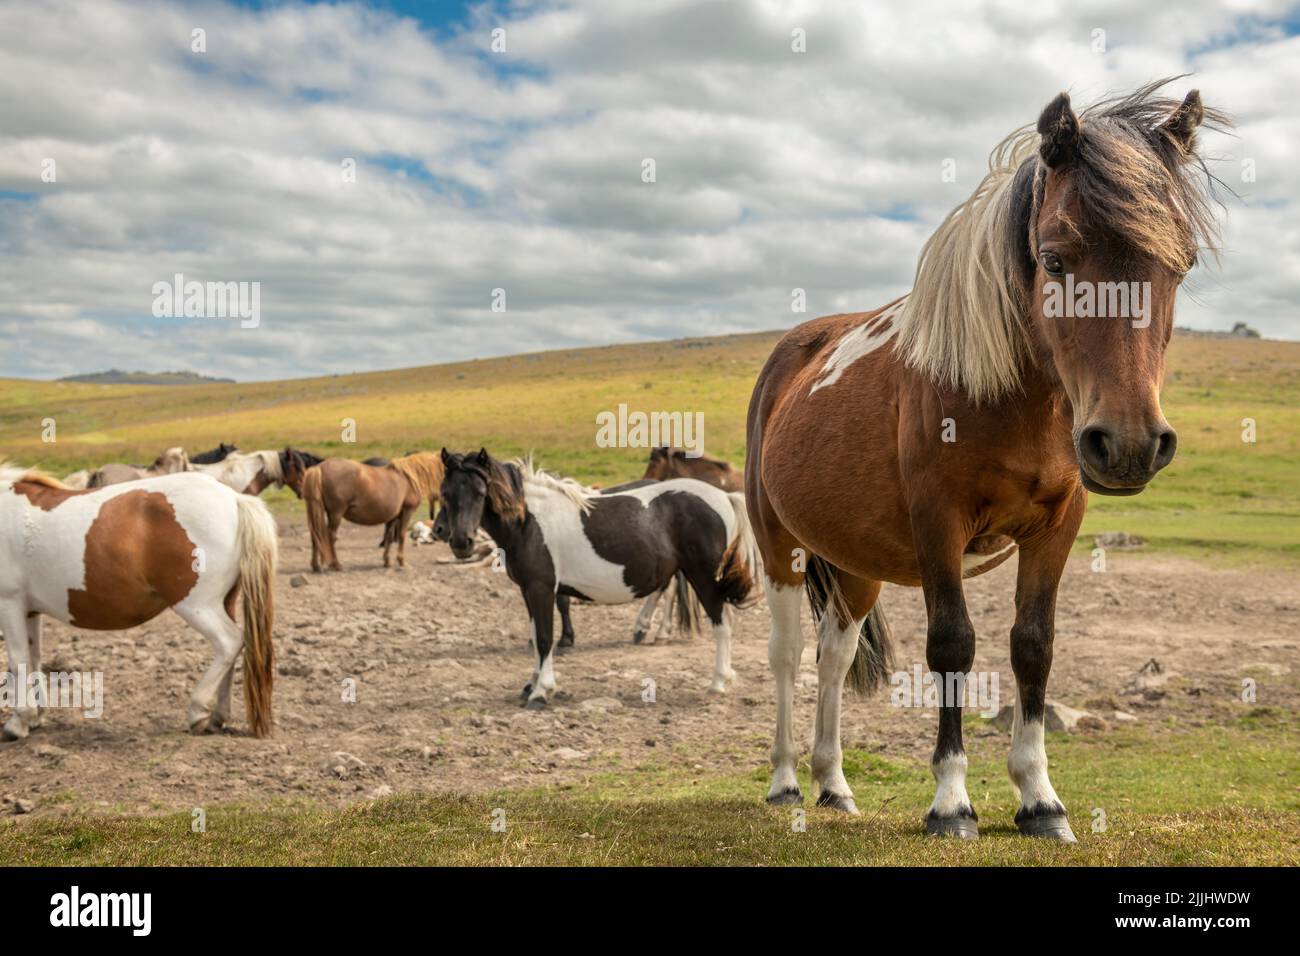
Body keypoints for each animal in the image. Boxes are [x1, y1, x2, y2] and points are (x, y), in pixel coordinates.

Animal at [1, 468, 276, 743]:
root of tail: (235, 499)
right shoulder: (29, 610)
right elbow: (33, 659)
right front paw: (35, 717)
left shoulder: (9, 604)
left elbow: (17, 660)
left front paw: (19, 722)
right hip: (224, 602)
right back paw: (218, 715)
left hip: (198, 606)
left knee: (229, 642)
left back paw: (198, 711)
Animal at [301, 452, 444, 572]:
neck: (409, 478)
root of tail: (319, 468)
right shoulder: (407, 511)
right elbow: (401, 535)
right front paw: (402, 562)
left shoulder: (393, 516)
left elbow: (389, 537)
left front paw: (387, 561)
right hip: (336, 514)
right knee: (330, 536)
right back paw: (336, 565)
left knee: (315, 535)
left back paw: (316, 566)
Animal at [436, 450, 759, 712]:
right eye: (445, 492)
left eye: (480, 492)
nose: (460, 542)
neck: (529, 521)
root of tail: (725, 497)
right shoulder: (528, 590)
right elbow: (536, 636)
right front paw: (531, 684)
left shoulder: (541, 588)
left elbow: (545, 638)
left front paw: (541, 692)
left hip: (705, 578)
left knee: (721, 624)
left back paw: (717, 682)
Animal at [748, 83, 1222, 842]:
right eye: (1055, 260)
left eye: (1180, 267)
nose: (1129, 443)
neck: (1011, 396)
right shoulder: (938, 524)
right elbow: (953, 646)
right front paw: (950, 802)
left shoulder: (1057, 528)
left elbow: (1033, 645)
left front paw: (1040, 799)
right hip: (780, 547)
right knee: (788, 655)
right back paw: (788, 781)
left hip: (854, 567)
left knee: (833, 657)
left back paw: (833, 784)